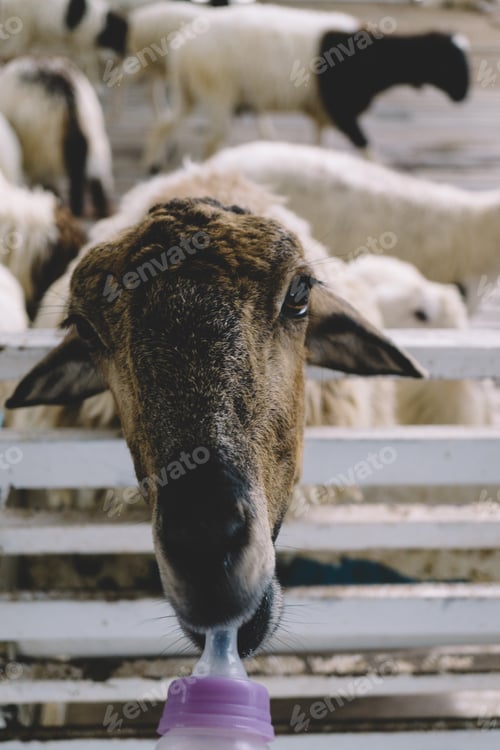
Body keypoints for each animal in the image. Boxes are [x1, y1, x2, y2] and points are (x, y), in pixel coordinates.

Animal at [0, 56, 115, 218]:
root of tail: (65, 88)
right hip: (95, 142)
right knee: (96, 181)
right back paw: (98, 211)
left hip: (43, 153)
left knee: (53, 190)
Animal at [143, 6, 469, 169]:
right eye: (450, 63)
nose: (464, 96)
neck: (376, 59)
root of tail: (182, 47)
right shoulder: (341, 109)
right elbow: (368, 149)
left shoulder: (322, 112)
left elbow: (319, 147)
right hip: (218, 89)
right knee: (212, 141)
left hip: (190, 89)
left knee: (164, 123)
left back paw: (153, 165)